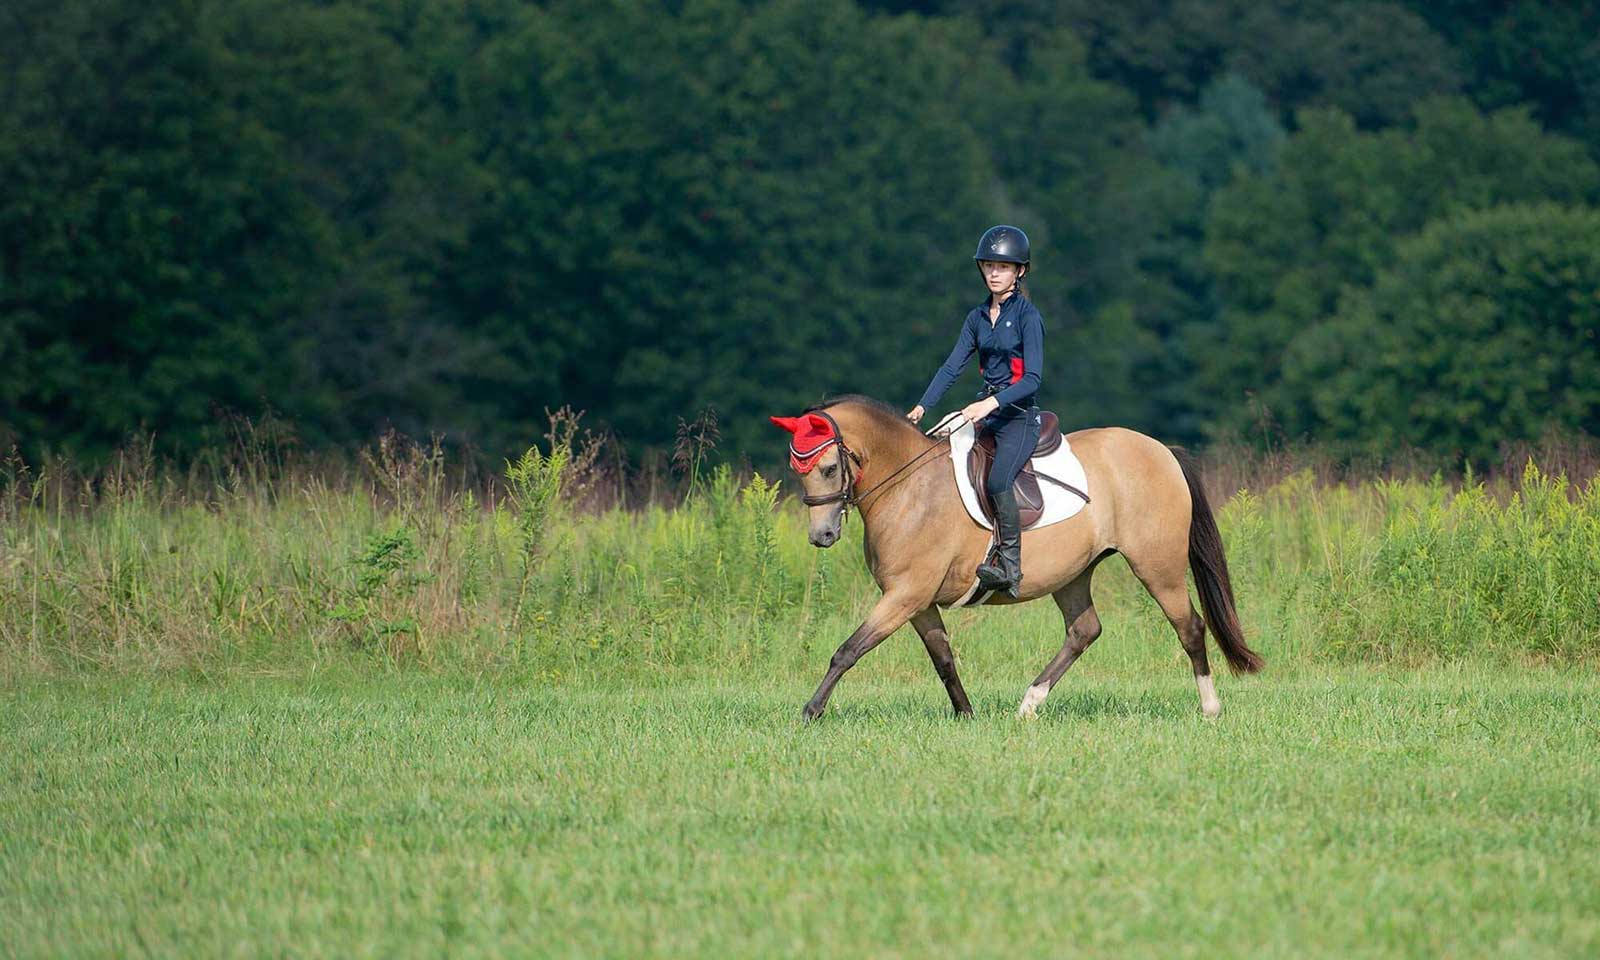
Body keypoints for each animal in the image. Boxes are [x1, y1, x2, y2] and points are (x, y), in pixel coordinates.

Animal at [764, 392, 1260, 720]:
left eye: (830, 468)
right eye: (797, 470)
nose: (822, 535)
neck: (908, 488)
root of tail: (1162, 450)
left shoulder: (906, 595)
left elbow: (848, 650)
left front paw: (810, 711)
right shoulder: (917, 602)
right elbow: (943, 658)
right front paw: (967, 715)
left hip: (1158, 566)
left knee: (1189, 627)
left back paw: (1210, 708)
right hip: (1073, 574)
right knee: (1084, 631)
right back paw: (1028, 705)